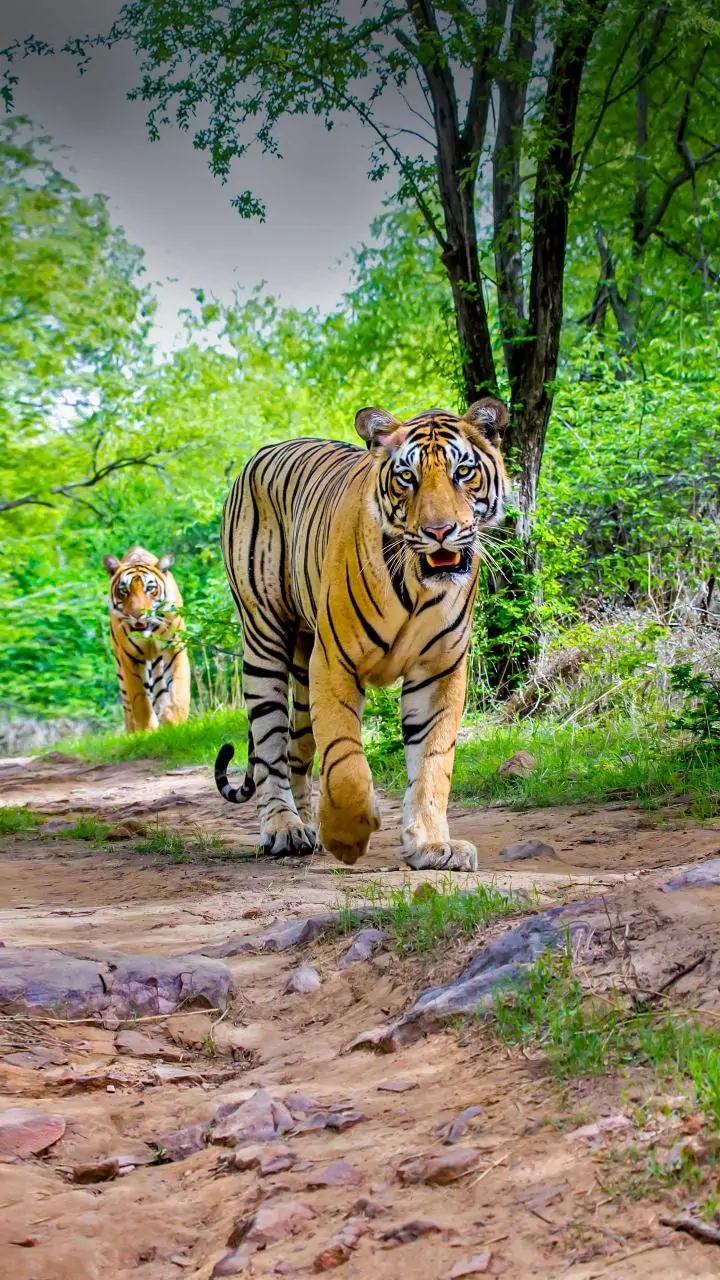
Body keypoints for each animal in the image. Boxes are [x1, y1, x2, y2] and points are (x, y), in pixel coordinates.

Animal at [103, 546, 191, 733]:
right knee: (129, 706)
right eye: (124, 591)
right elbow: (140, 699)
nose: (137, 615)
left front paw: (174, 720)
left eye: (150, 589)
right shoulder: (130, 658)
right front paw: (146, 729)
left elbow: (178, 688)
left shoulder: (175, 649)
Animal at [215, 398, 508, 871]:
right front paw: (348, 836)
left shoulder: (439, 670)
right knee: (270, 749)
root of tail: (268, 449)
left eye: (463, 472)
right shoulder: (334, 662)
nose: (439, 531)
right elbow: (345, 760)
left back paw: (307, 827)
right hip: (263, 639)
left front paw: (431, 845)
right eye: (407, 477)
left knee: (296, 751)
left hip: (302, 668)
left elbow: (432, 763)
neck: (418, 585)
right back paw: (284, 830)